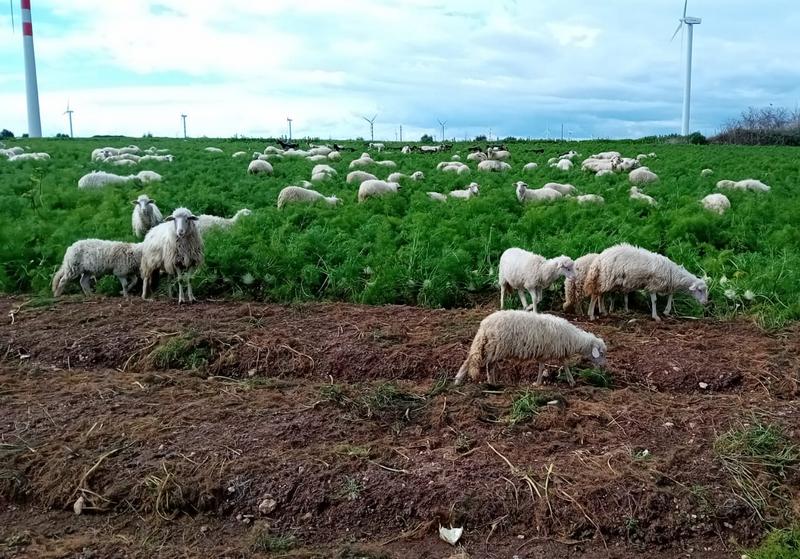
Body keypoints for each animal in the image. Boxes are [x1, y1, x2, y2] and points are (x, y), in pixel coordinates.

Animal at [453, 310, 607, 386]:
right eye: (601, 353)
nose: (603, 368)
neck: (572, 338)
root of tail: (484, 324)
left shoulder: (558, 352)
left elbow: (565, 365)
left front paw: (571, 381)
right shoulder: (546, 353)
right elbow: (541, 367)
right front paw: (537, 383)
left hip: (493, 348)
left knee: (489, 365)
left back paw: (492, 383)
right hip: (493, 346)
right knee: (472, 360)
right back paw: (458, 380)